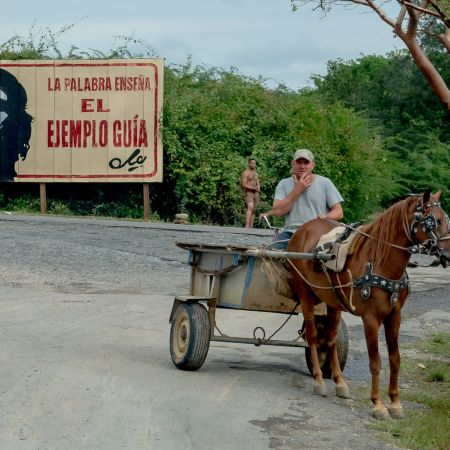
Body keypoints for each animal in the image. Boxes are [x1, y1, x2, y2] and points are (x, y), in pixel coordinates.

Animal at [288, 190, 450, 418]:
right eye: (434, 221)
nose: (449, 254)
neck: (380, 261)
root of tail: (302, 229)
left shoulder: (395, 316)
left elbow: (395, 359)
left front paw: (395, 404)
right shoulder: (370, 319)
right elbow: (375, 361)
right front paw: (378, 405)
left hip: (333, 301)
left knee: (330, 338)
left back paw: (340, 383)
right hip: (305, 294)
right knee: (311, 335)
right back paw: (319, 380)